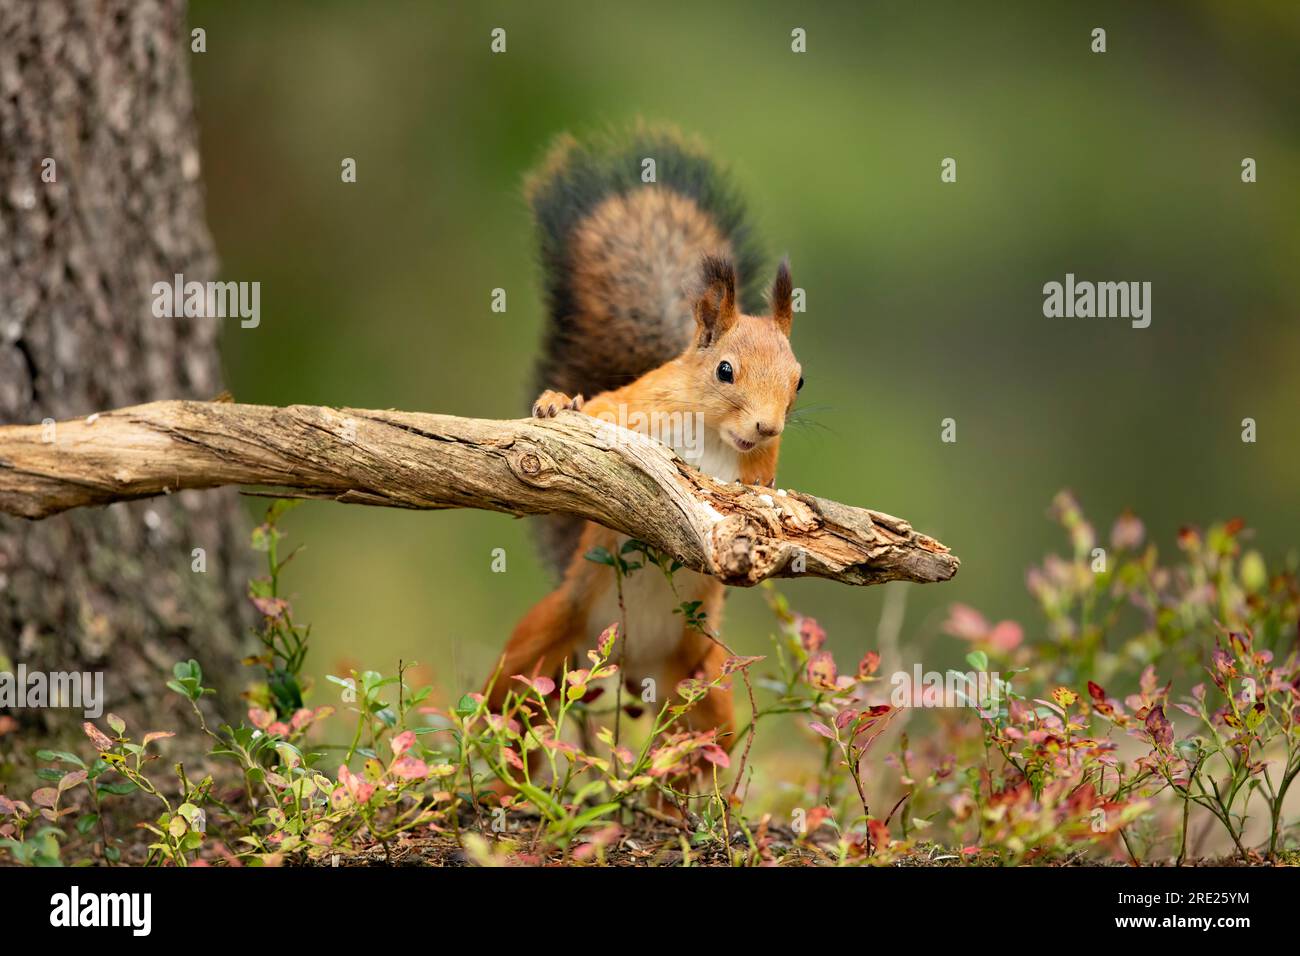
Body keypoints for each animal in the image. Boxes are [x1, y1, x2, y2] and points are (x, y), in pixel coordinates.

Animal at [487, 125, 803, 755]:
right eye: (725, 371)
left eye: (799, 380)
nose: (768, 427)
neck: (713, 432)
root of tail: (629, 661)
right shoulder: (639, 405)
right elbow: (600, 413)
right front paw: (560, 403)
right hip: (543, 635)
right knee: (504, 705)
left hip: (702, 677)